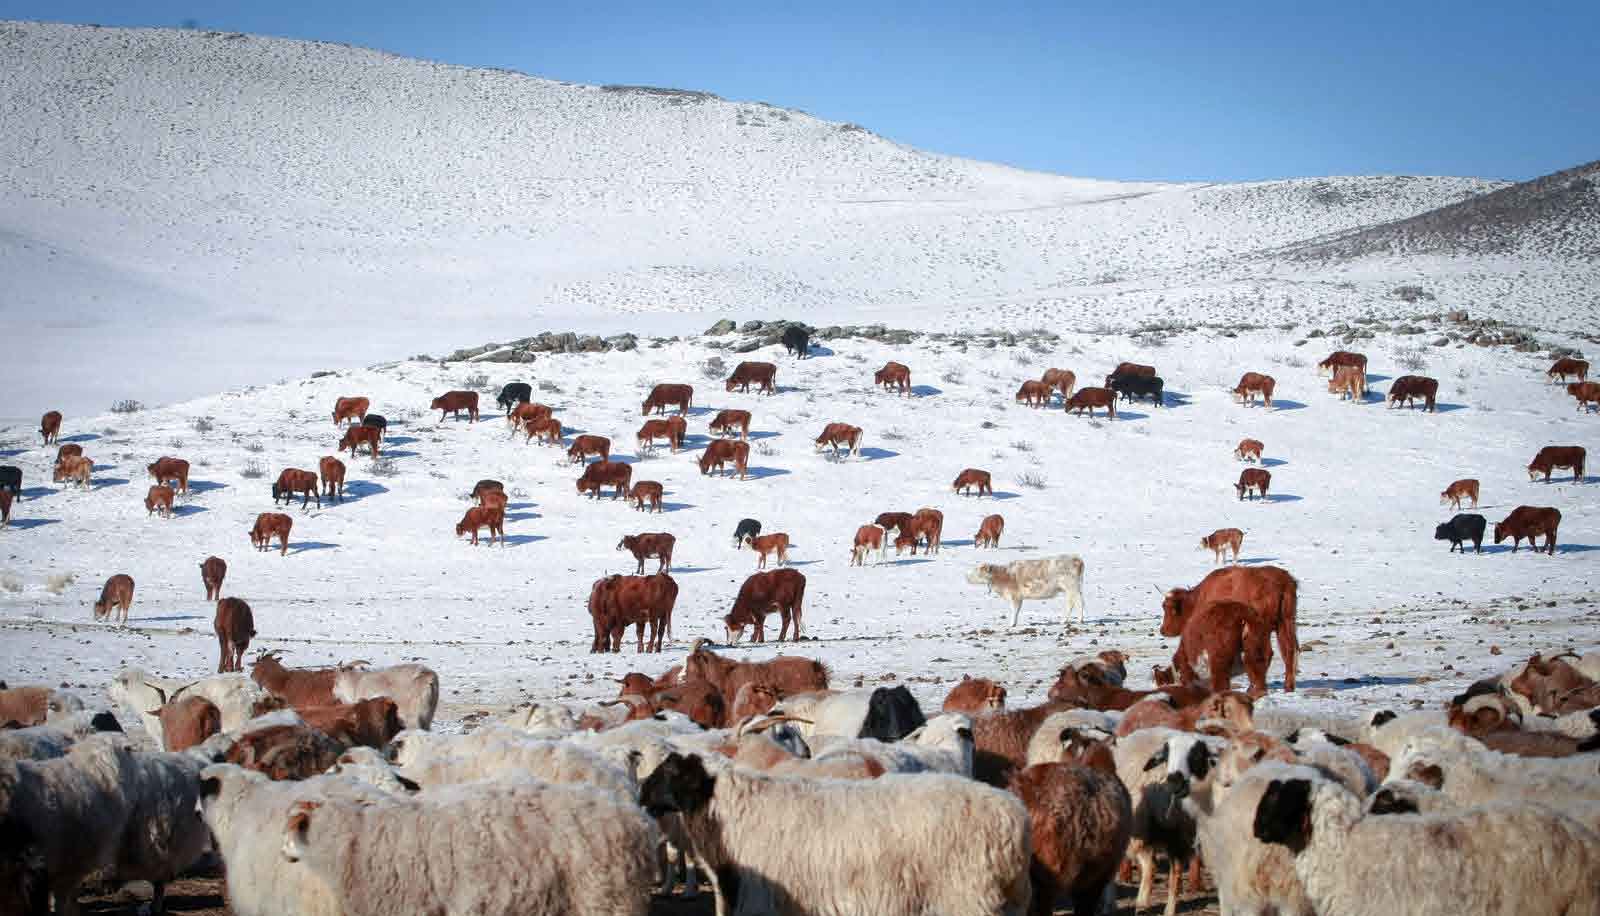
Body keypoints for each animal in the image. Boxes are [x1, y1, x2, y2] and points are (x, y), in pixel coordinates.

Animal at [640, 752, 1030, 916]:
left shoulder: (762, 899)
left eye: (671, 772)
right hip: (1005, 902)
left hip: (966, 897)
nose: (642, 793)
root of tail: (1014, 816)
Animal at [960, 554, 1088, 627]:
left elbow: (1014, 610)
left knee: (1074, 602)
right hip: (1074, 587)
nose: (965, 576)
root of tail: (1077, 559)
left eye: (976, 571)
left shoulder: (1015, 595)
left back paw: (1068, 620)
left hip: (1071, 586)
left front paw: (1012, 623)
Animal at [1164, 566, 1299, 695]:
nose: (1163, 630)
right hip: (1286, 623)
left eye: (1168, 609)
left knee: (1264, 655)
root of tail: (1283, 581)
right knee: (1289, 651)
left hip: (1263, 631)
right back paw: (1288, 687)